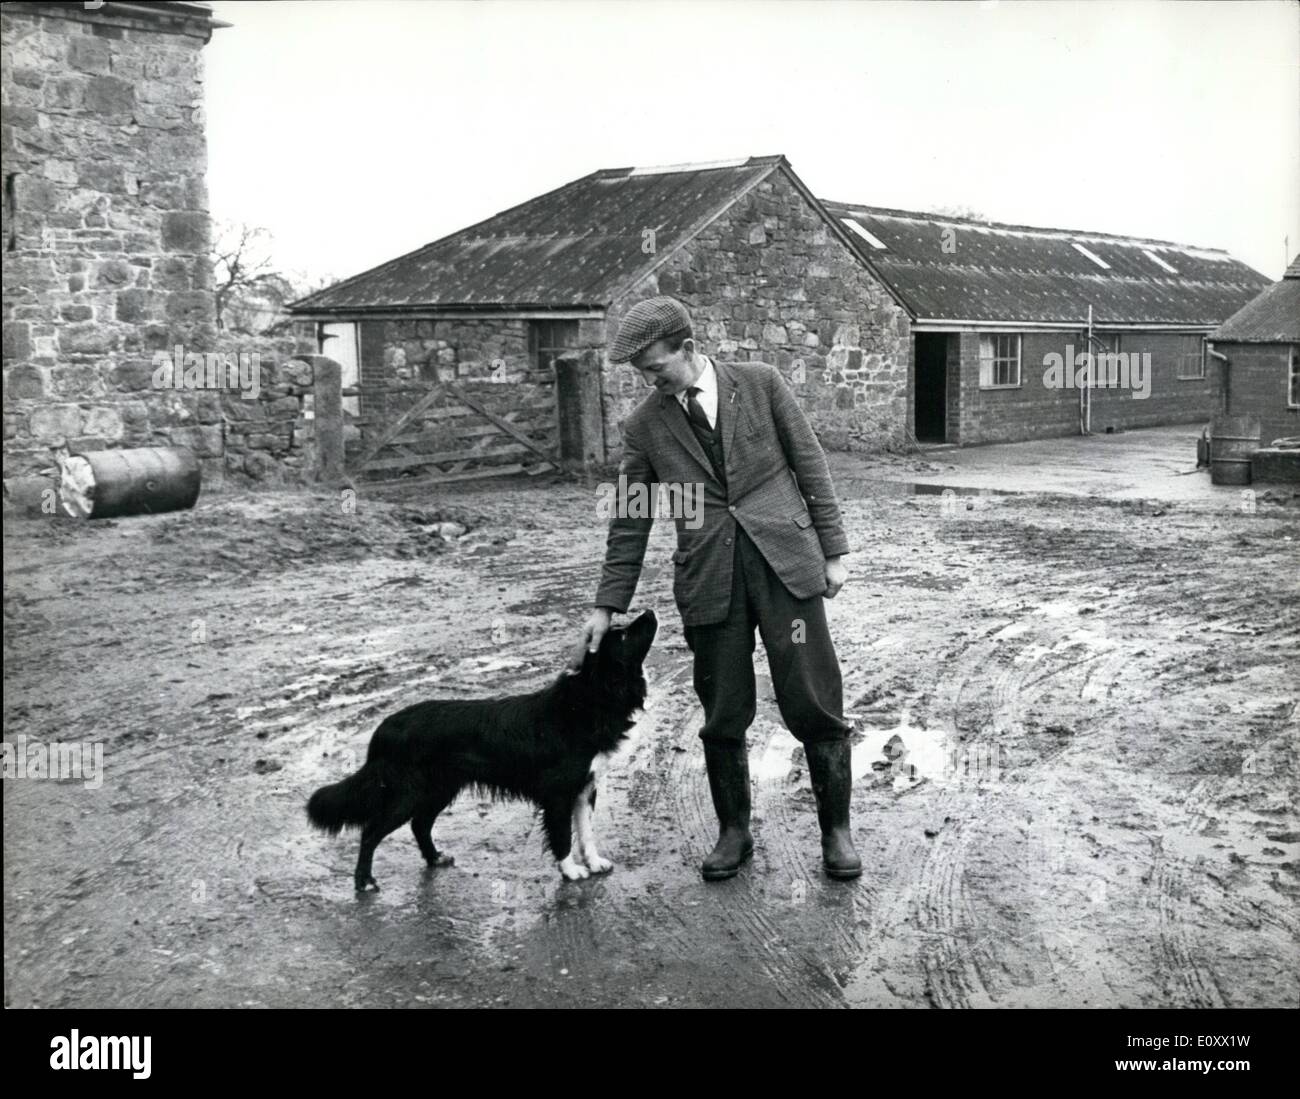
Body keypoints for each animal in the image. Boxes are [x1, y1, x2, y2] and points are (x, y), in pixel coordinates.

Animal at [306, 613, 660, 889]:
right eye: (625, 634)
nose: (651, 612)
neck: (586, 701)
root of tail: (384, 728)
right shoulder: (558, 793)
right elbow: (562, 836)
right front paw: (571, 871)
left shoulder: (585, 787)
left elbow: (586, 832)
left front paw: (595, 862)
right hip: (407, 793)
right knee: (371, 832)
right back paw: (364, 881)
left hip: (439, 787)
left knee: (419, 824)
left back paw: (435, 858)